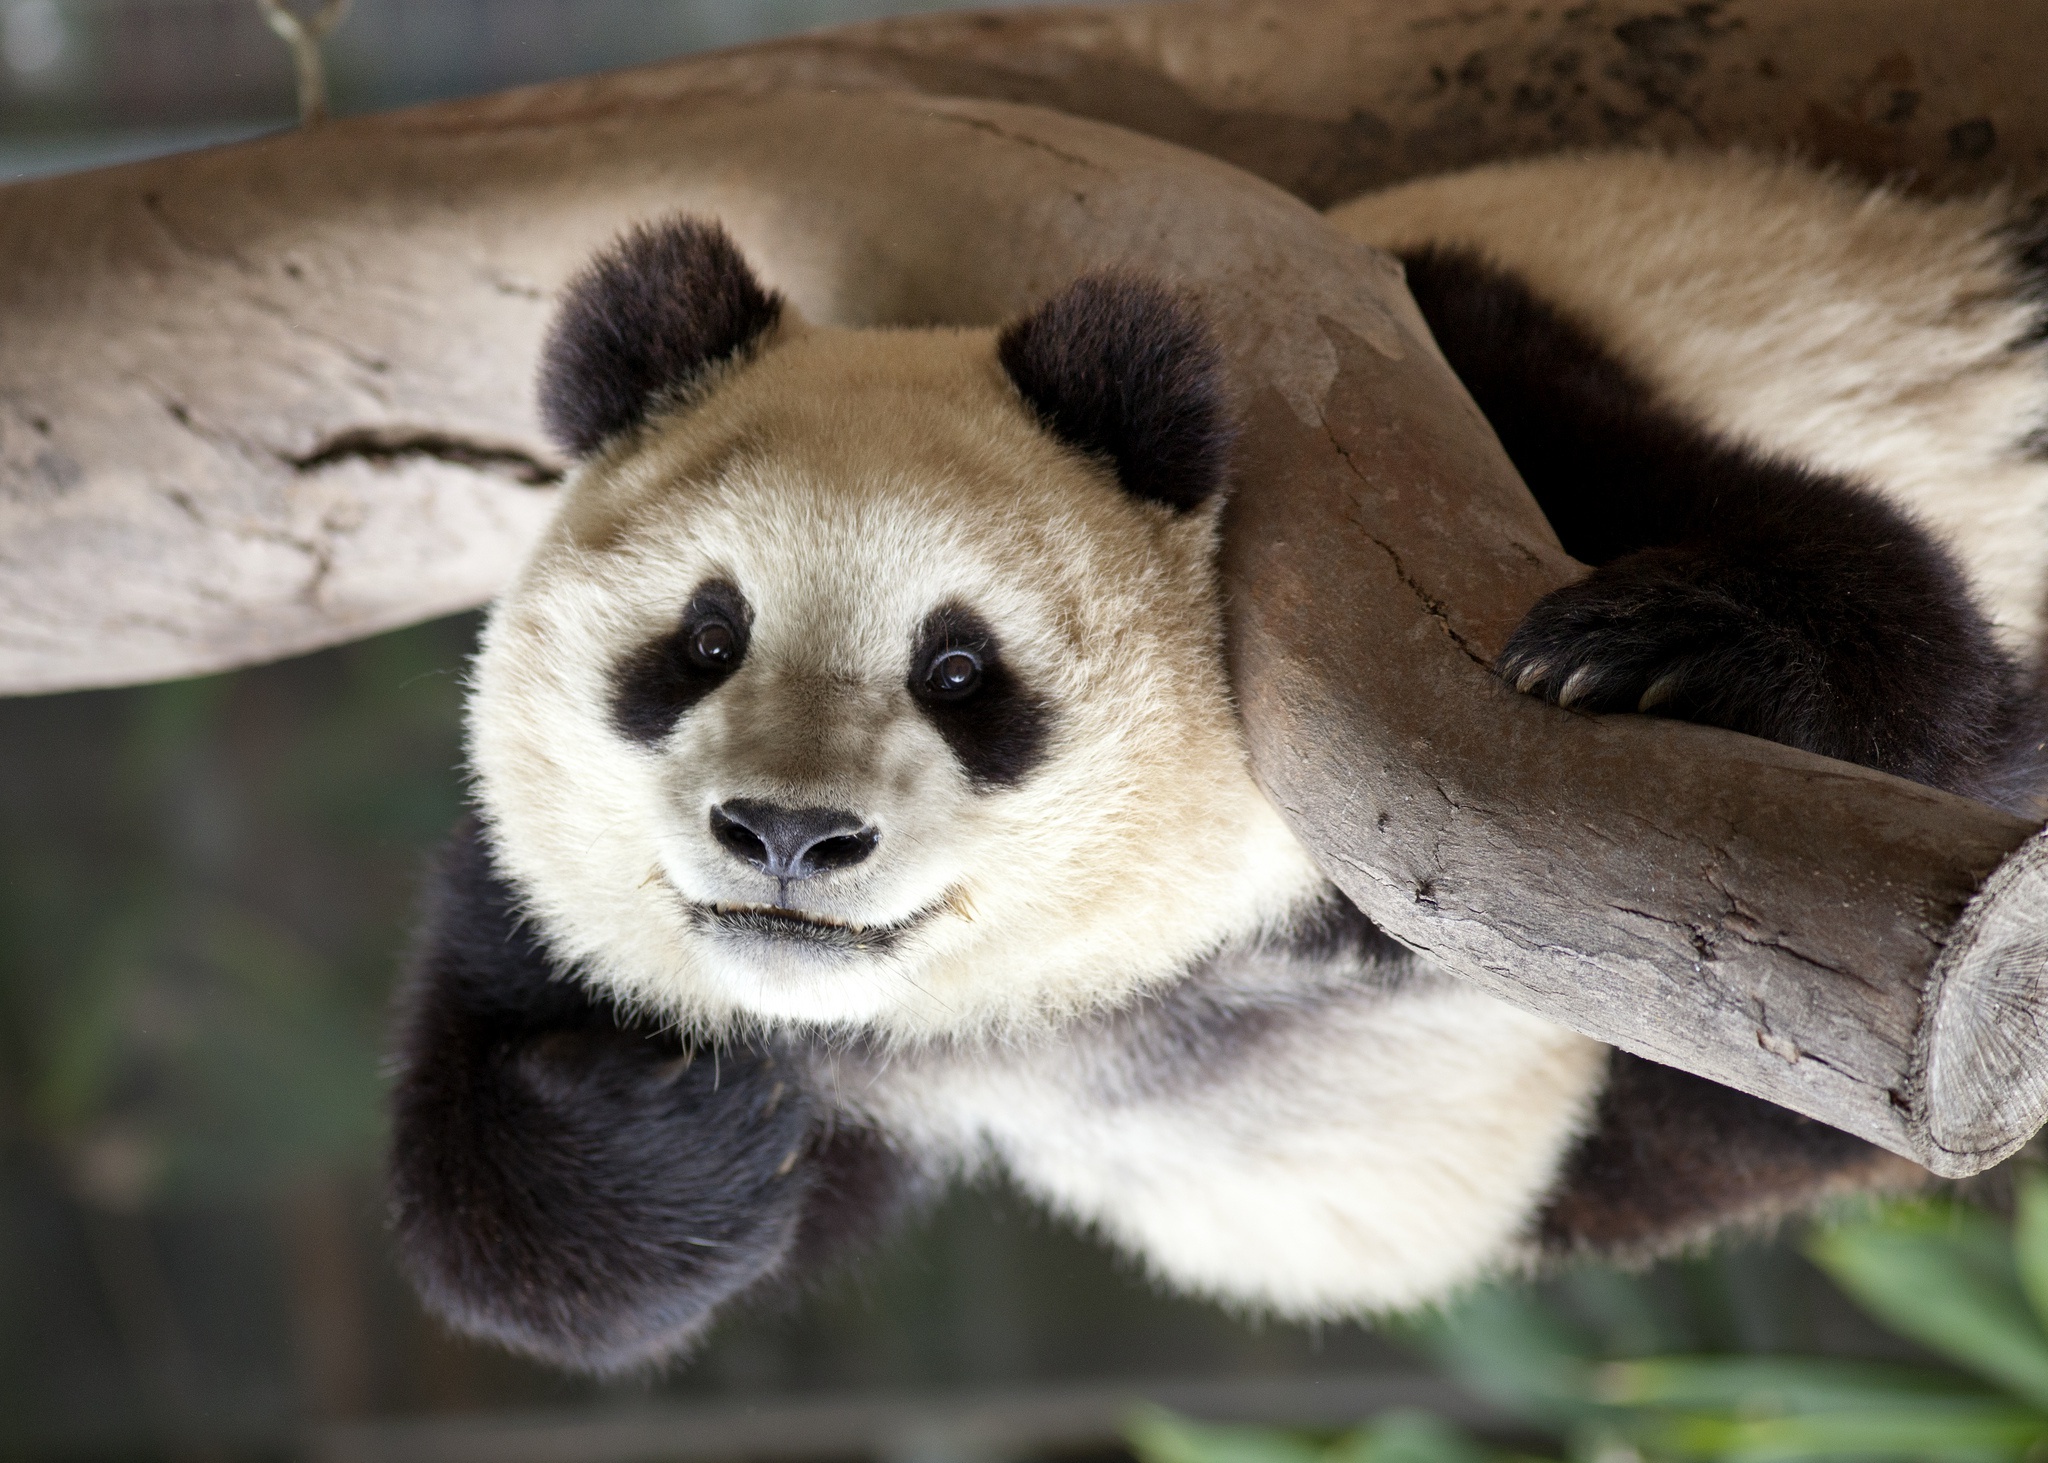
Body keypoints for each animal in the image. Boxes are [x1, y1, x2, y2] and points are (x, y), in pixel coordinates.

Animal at [385, 148, 2048, 1368]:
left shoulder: (1438, 403)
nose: (790, 834)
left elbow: (1927, 659)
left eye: (960, 671)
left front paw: (1671, 646)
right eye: (706, 637)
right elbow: (512, 1193)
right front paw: (684, 1125)